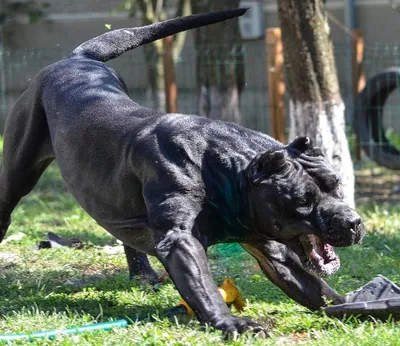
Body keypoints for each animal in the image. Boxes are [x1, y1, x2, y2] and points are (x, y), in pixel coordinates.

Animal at [0, 9, 364, 336]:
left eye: (336, 185)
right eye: (303, 199)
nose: (354, 222)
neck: (226, 173)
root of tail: (78, 59)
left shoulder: (271, 247)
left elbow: (314, 288)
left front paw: (354, 306)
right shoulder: (181, 240)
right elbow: (203, 287)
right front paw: (233, 324)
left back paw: (142, 273)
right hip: (17, 172)